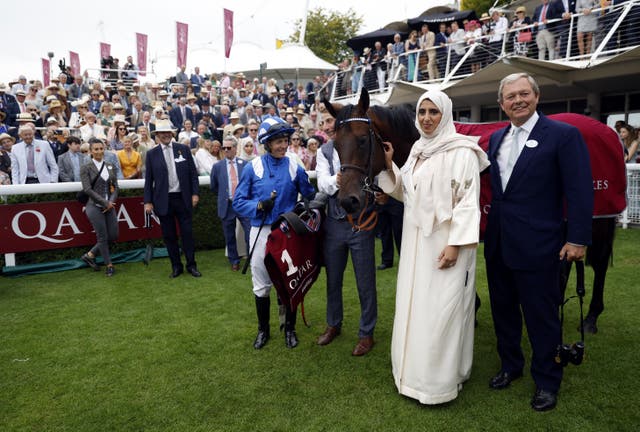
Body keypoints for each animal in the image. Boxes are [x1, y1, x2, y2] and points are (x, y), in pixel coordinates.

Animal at [324, 88, 624, 330]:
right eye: (336, 144)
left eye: (363, 140)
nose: (348, 200)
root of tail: (607, 130)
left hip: (596, 218)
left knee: (598, 262)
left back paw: (591, 316)